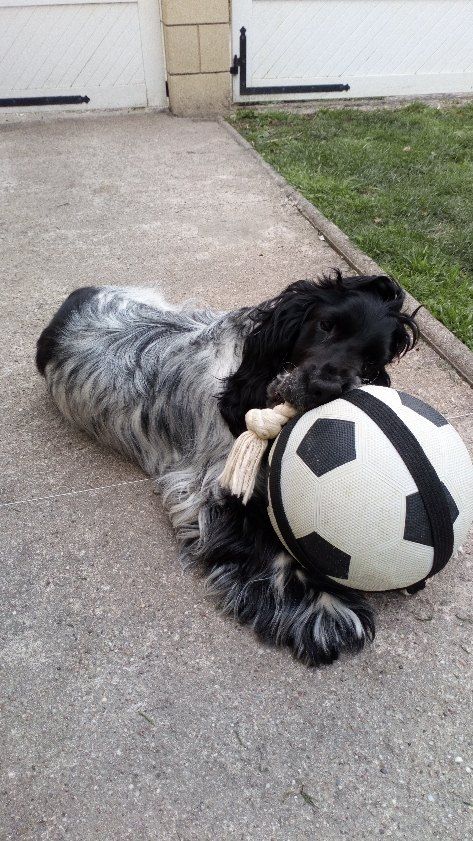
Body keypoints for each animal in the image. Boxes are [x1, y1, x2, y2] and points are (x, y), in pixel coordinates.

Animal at [37, 272, 416, 668]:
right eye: (326, 325)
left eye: (372, 363)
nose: (324, 387)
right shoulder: (209, 487)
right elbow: (273, 549)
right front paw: (326, 609)